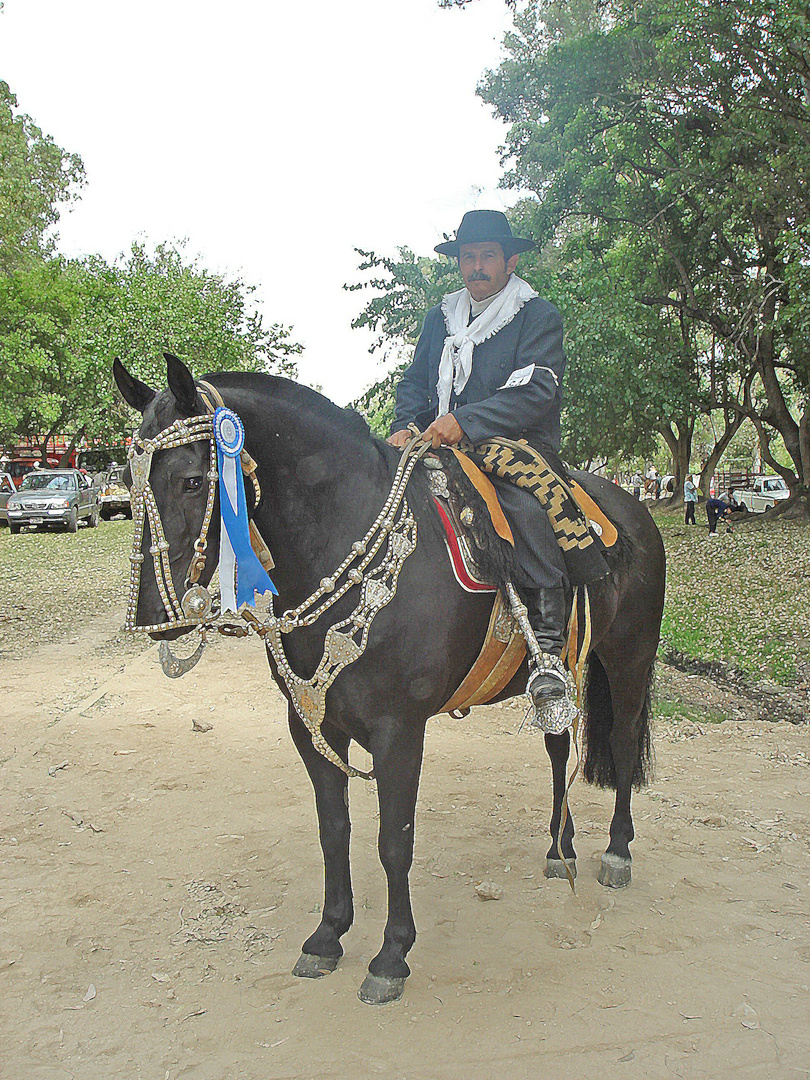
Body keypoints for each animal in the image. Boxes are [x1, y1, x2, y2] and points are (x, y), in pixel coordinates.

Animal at [115, 358, 673, 1006]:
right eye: (128, 483)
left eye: (188, 480)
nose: (154, 616)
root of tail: (630, 510)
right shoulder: (311, 725)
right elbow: (334, 830)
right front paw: (328, 934)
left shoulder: (398, 730)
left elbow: (394, 838)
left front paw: (391, 954)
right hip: (563, 677)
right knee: (559, 747)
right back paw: (561, 848)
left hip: (629, 656)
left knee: (625, 740)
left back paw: (617, 850)